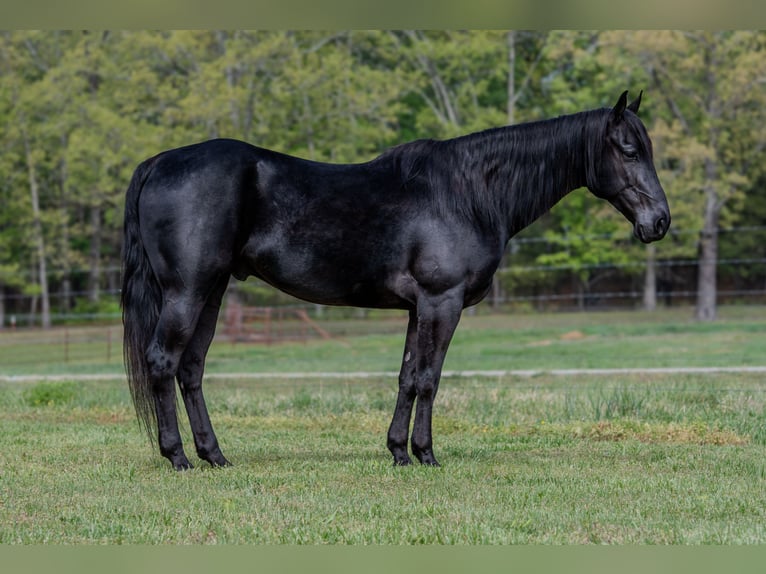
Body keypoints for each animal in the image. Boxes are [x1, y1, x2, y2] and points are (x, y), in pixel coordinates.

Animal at [121, 90, 670, 470]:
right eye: (627, 150)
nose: (660, 222)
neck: (466, 193)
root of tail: (159, 162)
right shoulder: (441, 302)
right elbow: (429, 378)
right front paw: (425, 454)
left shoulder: (417, 308)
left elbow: (407, 377)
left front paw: (398, 452)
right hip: (187, 292)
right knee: (164, 362)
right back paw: (178, 457)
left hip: (212, 293)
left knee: (191, 369)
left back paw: (215, 455)